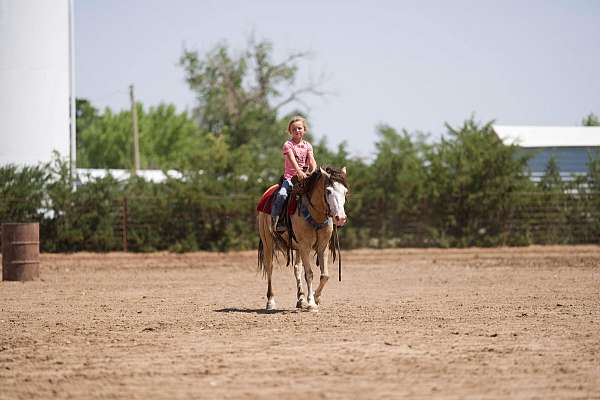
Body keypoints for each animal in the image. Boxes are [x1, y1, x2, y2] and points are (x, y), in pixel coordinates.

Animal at [256, 166, 350, 312]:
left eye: (345, 192)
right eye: (328, 191)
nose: (341, 218)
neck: (315, 214)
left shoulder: (322, 247)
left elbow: (325, 275)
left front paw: (316, 298)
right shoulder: (305, 246)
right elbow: (309, 274)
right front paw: (311, 303)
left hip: (297, 248)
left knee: (297, 268)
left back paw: (301, 300)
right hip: (268, 242)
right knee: (269, 267)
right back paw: (271, 302)